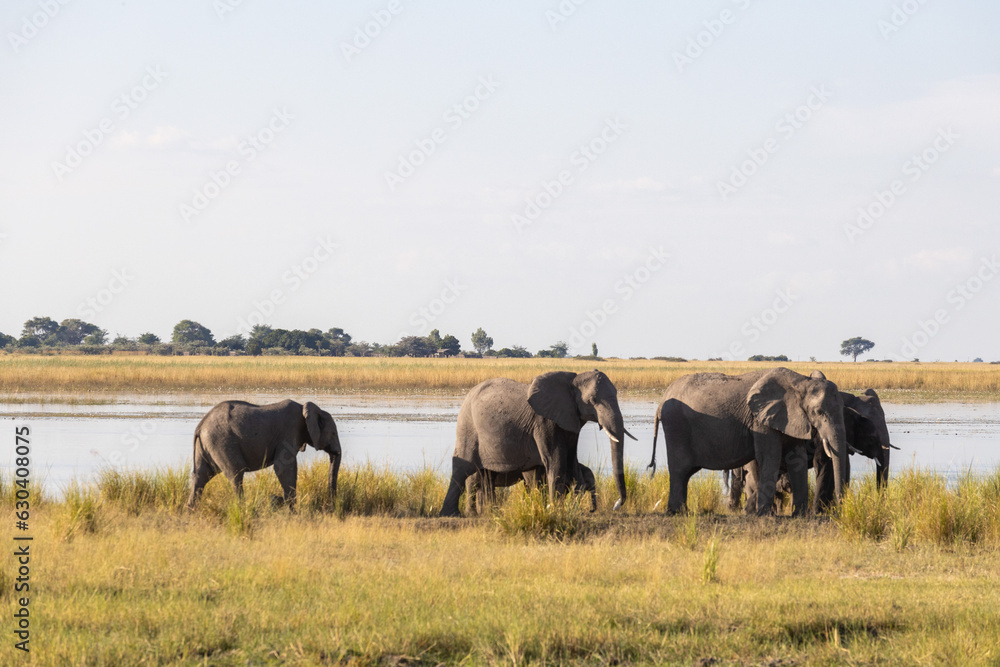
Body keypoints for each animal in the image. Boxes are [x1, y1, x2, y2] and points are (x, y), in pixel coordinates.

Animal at [186, 399, 342, 510]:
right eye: (334, 433)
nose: (331, 507)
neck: (304, 408)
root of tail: (200, 426)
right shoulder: (289, 431)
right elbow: (283, 468)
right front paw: (291, 511)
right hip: (221, 442)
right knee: (236, 474)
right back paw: (242, 508)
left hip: (206, 444)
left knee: (201, 476)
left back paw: (191, 512)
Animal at [648, 368, 848, 517]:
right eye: (819, 412)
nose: (840, 510)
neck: (801, 381)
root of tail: (662, 400)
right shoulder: (760, 421)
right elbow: (770, 458)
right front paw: (765, 516)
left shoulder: (790, 419)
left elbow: (796, 458)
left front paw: (800, 516)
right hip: (677, 427)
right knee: (680, 470)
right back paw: (677, 512)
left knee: (686, 473)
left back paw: (683, 512)